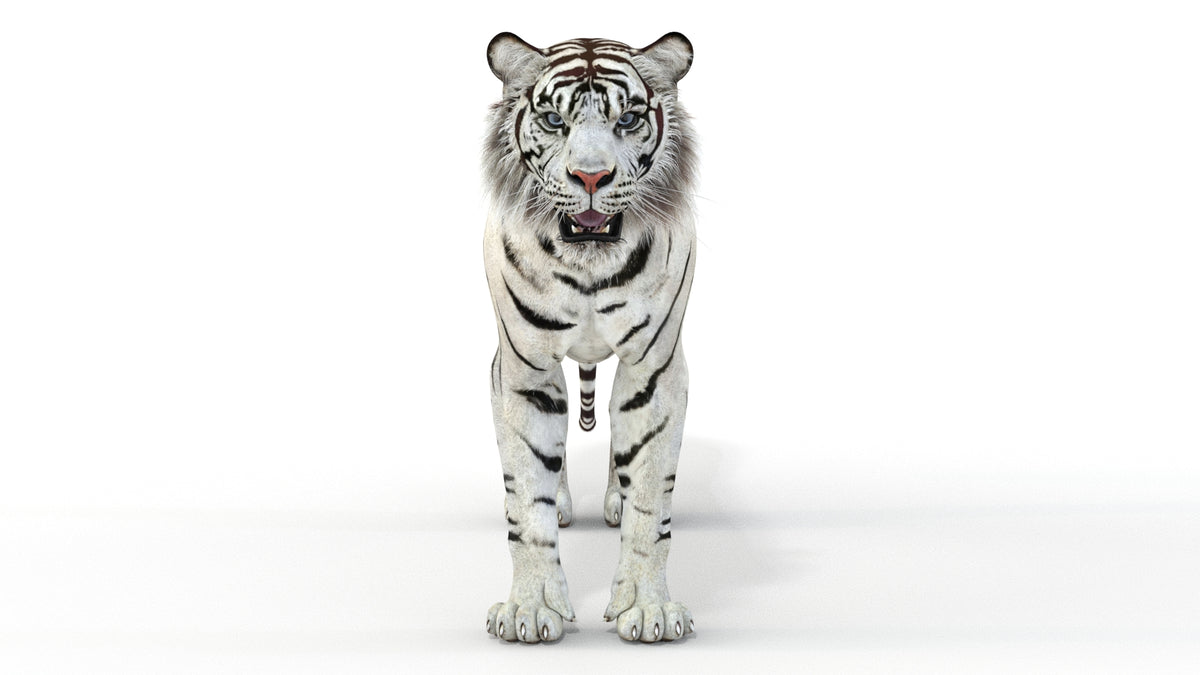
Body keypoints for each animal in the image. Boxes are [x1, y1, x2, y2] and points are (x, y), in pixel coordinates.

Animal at [482, 32, 698, 644]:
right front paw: (530, 609)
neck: (588, 266)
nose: (592, 178)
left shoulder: (654, 369)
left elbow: (649, 492)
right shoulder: (525, 370)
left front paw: (647, 609)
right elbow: (526, 491)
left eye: (627, 119)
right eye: (554, 120)